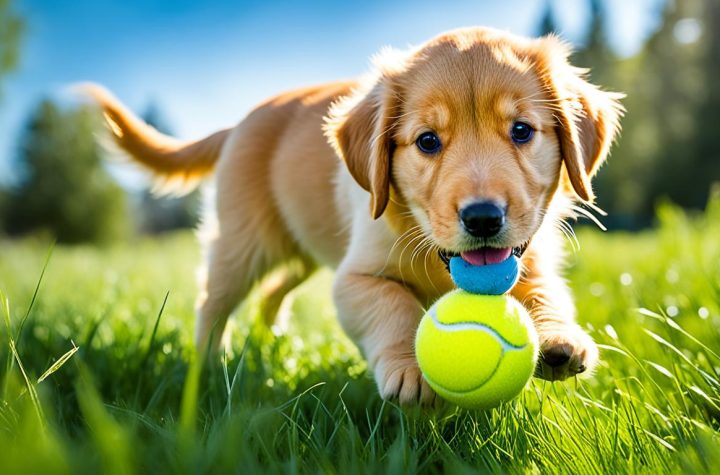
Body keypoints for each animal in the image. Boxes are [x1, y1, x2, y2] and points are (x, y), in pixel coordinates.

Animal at [84, 27, 620, 406]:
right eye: (428, 141)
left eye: (522, 130)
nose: (484, 219)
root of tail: (241, 122)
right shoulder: (356, 277)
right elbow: (394, 306)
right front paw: (408, 369)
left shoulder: (530, 261)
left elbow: (547, 294)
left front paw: (560, 340)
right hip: (243, 243)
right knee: (213, 302)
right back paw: (210, 367)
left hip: (300, 248)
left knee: (272, 294)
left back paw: (273, 343)